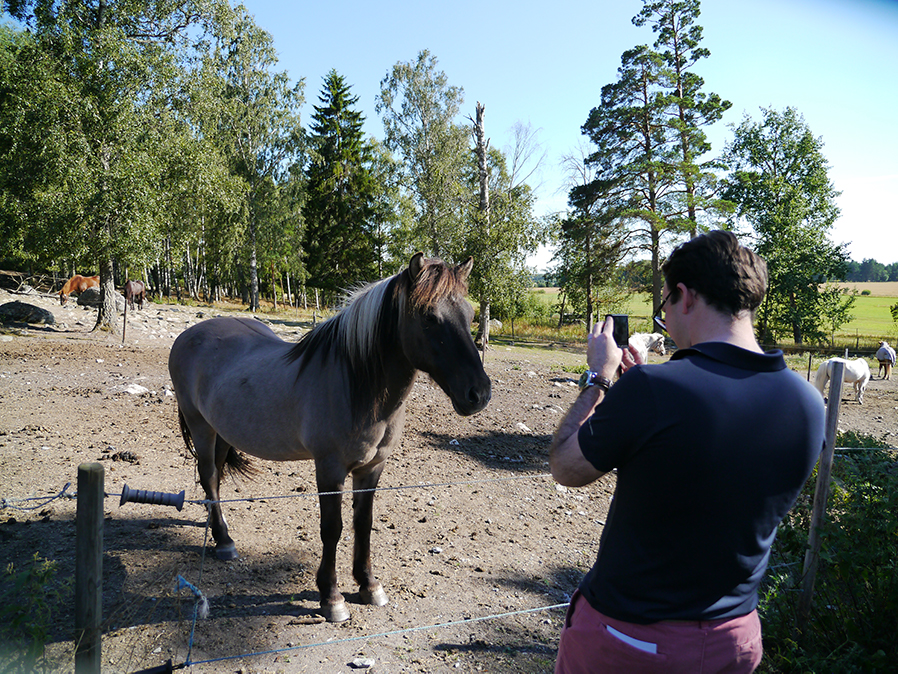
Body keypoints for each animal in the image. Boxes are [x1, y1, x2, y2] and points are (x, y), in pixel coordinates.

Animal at [168, 254, 492, 622]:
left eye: (470, 315)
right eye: (429, 317)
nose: (478, 393)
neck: (356, 385)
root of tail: (189, 334)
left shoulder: (372, 468)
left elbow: (363, 523)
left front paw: (368, 585)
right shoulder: (330, 469)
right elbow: (332, 528)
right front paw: (331, 596)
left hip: (222, 429)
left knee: (216, 478)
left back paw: (217, 529)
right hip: (201, 426)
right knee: (208, 475)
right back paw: (223, 542)